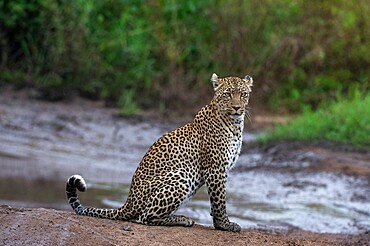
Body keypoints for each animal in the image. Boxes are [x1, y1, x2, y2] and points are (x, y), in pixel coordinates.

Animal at [65, 72, 253, 232]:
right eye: (227, 94)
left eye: (243, 94)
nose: (237, 107)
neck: (235, 124)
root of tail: (128, 204)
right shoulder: (215, 168)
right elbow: (219, 199)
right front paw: (224, 225)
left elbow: (217, 199)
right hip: (182, 176)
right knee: (144, 218)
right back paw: (182, 219)